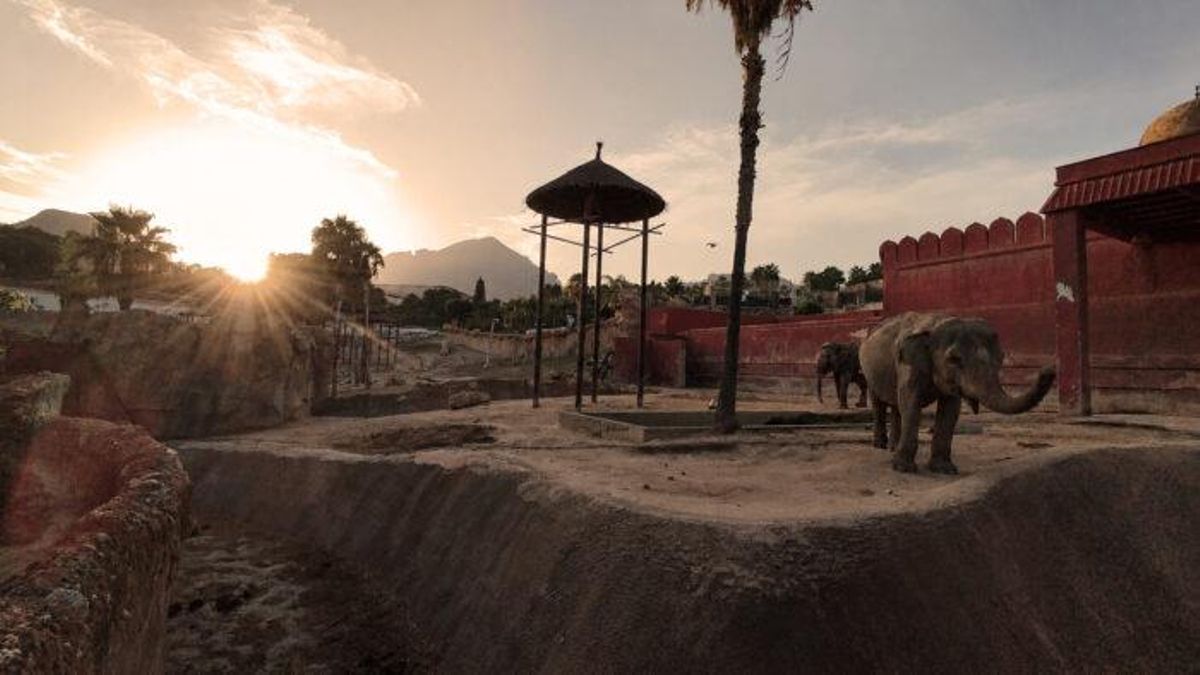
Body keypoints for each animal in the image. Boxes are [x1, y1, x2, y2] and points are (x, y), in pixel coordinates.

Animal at [859, 312, 1056, 475]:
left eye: (1001, 357)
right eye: (954, 359)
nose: (1048, 369)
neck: (937, 322)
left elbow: (950, 409)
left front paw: (944, 469)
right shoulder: (907, 365)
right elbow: (911, 403)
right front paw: (903, 469)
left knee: (895, 406)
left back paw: (893, 447)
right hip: (869, 371)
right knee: (879, 403)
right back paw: (880, 445)